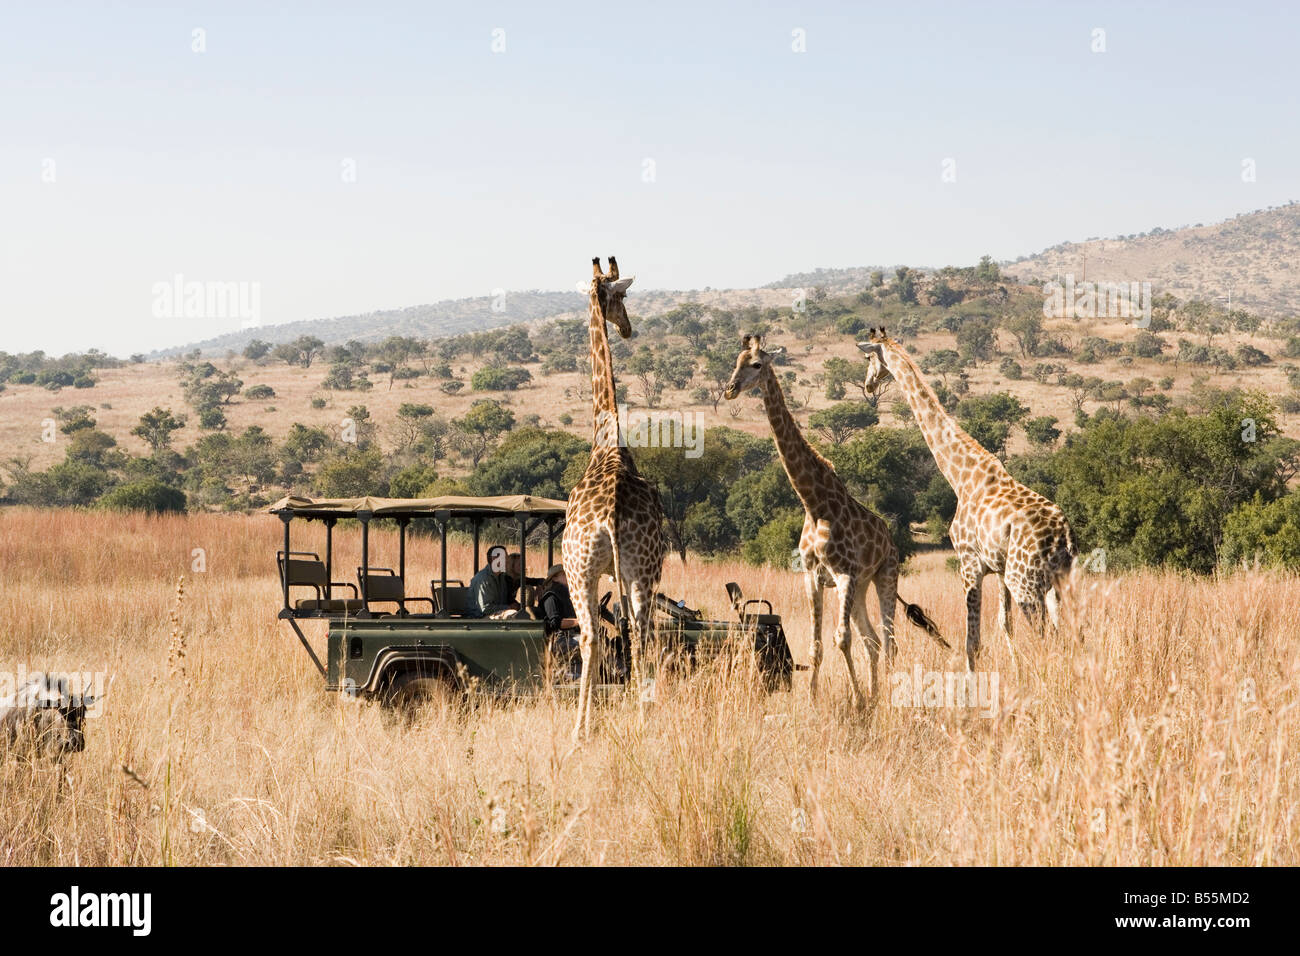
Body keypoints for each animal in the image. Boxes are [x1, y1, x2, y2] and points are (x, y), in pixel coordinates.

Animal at [724, 335, 948, 708]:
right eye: (736, 362)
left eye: (756, 364)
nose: (730, 389)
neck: (814, 503)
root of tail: (890, 539)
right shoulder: (813, 577)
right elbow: (816, 646)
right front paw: (814, 700)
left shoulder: (845, 574)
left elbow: (841, 639)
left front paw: (856, 700)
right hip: (861, 587)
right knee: (872, 639)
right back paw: (875, 695)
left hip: (884, 576)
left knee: (889, 640)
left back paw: (885, 696)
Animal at [857, 328, 1077, 671]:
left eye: (869, 357)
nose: (867, 384)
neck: (961, 477)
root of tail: (1063, 534)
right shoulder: (998, 569)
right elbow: (1004, 624)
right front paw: (1017, 673)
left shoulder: (969, 562)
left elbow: (972, 642)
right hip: (1057, 579)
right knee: (1068, 632)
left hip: (1025, 581)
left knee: (1046, 635)